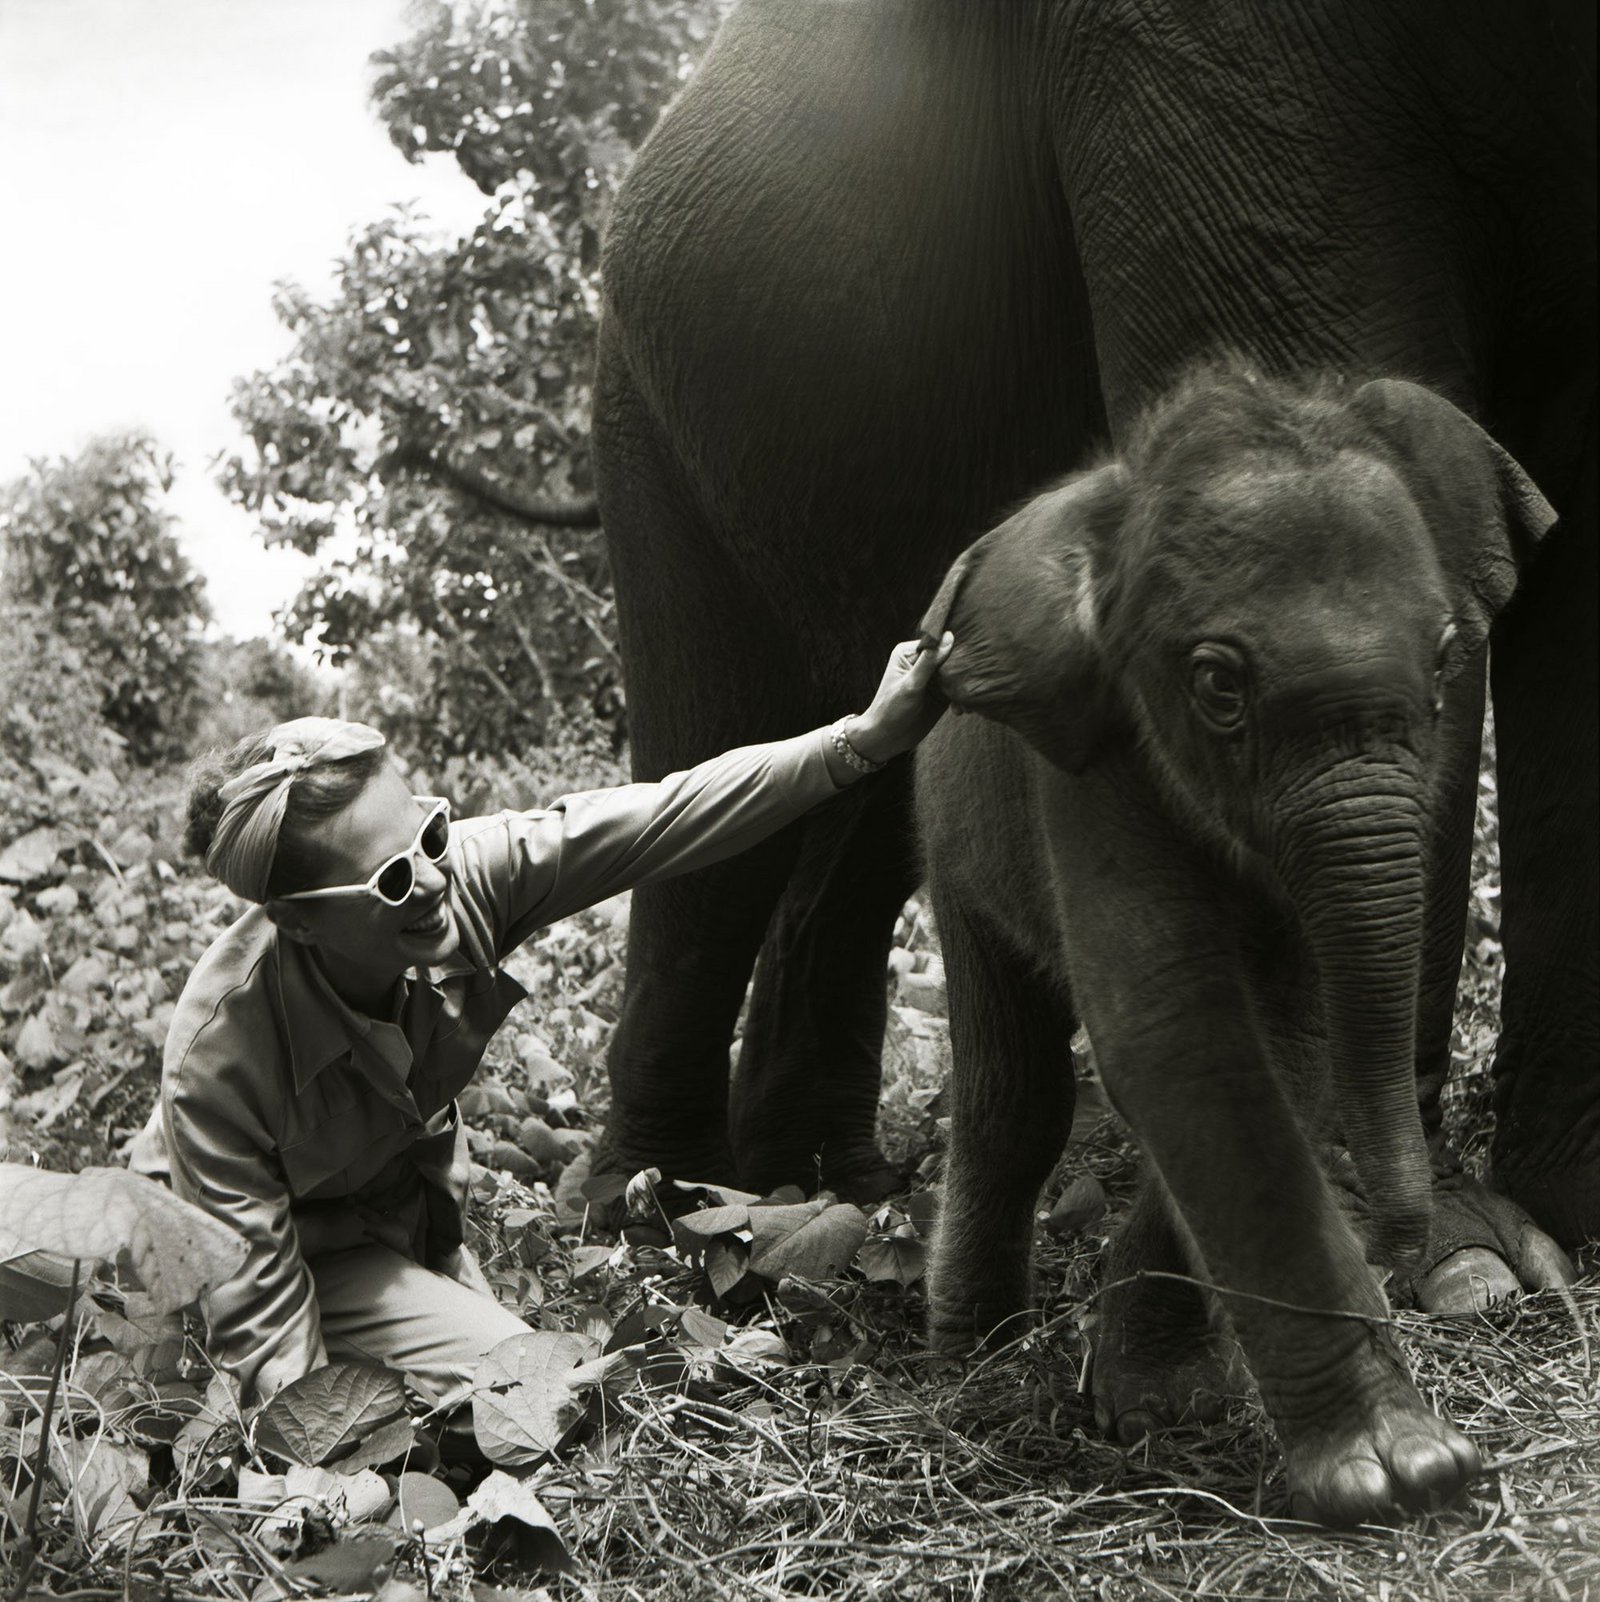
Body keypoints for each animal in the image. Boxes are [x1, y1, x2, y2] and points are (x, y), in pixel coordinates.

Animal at [589, 0, 1595, 1301]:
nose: (1401, 1239)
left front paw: (1543, 1232)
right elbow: (1315, 331)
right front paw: (1461, 1272)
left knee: (865, 814)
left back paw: (827, 1189)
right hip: (650, 421)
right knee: (715, 772)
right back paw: (651, 1210)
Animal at [915, 359, 1568, 1523]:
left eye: (1449, 659)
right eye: (1219, 687)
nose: (1400, 1254)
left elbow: (1286, 1045)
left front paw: (1168, 1402)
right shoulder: (1089, 770)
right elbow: (1179, 1033)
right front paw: (1399, 1472)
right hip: (951, 832)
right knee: (1010, 1092)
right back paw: (973, 1363)